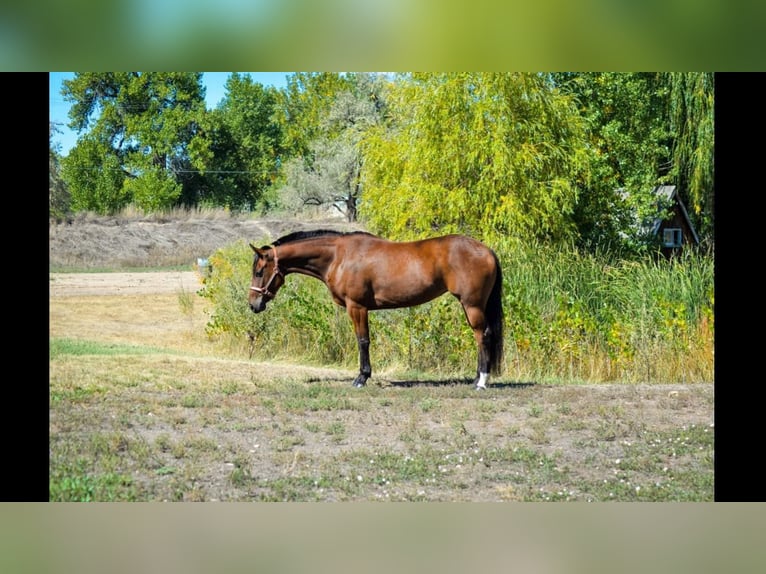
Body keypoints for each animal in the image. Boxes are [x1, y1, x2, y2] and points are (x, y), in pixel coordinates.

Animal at [249, 231, 508, 392]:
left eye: (259, 271)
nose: (253, 304)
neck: (339, 256)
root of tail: (486, 250)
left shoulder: (357, 307)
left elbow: (362, 341)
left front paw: (361, 378)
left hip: (472, 305)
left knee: (483, 336)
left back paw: (481, 382)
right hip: (470, 305)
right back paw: (476, 378)